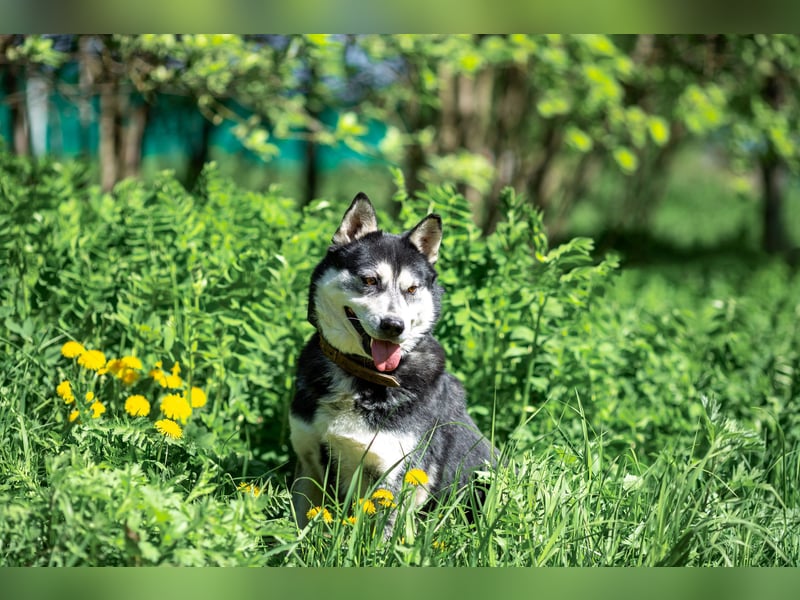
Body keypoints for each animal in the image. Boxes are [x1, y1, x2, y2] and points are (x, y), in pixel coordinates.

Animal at [289, 193, 495, 528]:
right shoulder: (308, 464)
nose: (393, 326)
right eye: (370, 280)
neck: (363, 376)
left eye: (411, 289)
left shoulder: (396, 478)